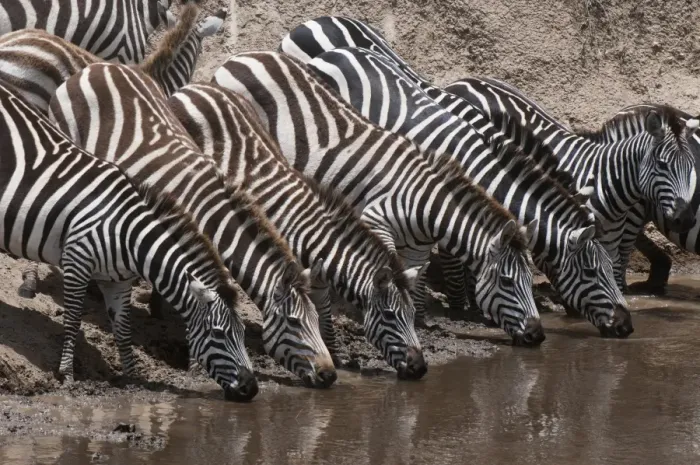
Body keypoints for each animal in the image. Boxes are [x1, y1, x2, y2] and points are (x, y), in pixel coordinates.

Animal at [0, 79, 257, 401]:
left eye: (244, 334)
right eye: (219, 334)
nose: (251, 388)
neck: (128, 236)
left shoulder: (117, 281)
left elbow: (123, 330)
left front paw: (133, 378)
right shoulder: (76, 261)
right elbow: (72, 319)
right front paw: (67, 373)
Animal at [48, 63, 337, 388]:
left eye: (316, 319)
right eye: (294, 322)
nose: (329, 375)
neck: (211, 214)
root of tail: (98, 65)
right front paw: (194, 362)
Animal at [167, 82, 427, 378]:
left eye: (412, 314)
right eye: (390, 315)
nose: (420, 369)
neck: (312, 235)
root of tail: (196, 86)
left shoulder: (315, 275)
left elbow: (320, 308)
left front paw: (333, 353)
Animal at [213, 52, 545, 346]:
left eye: (531, 281)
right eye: (507, 281)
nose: (537, 336)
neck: (425, 205)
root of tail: (244, 55)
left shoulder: (419, 250)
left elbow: (413, 279)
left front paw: (414, 319)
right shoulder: (376, 219)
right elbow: (385, 267)